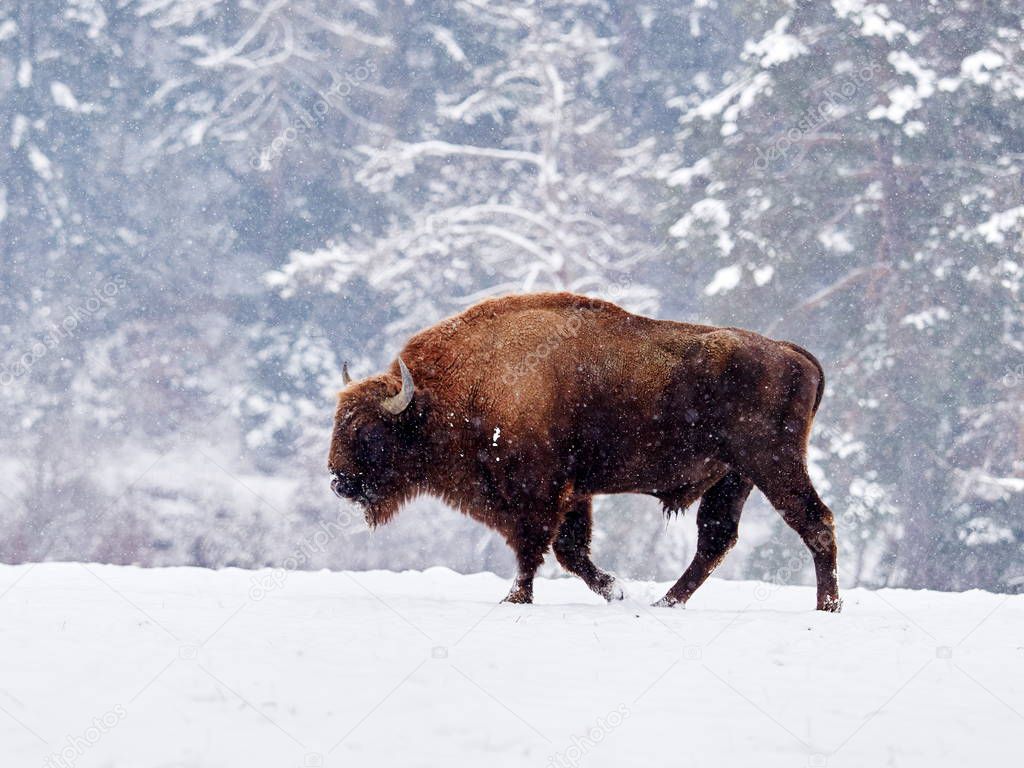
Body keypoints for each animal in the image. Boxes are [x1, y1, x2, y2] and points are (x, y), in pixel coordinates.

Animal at [327, 292, 839, 614]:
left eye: (368, 432)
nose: (337, 480)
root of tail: (791, 353)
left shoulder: (538, 493)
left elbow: (533, 547)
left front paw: (515, 599)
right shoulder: (574, 495)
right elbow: (570, 550)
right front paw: (616, 590)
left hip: (771, 464)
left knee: (815, 522)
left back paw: (827, 607)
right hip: (736, 477)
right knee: (716, 539)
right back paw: (665, 602)